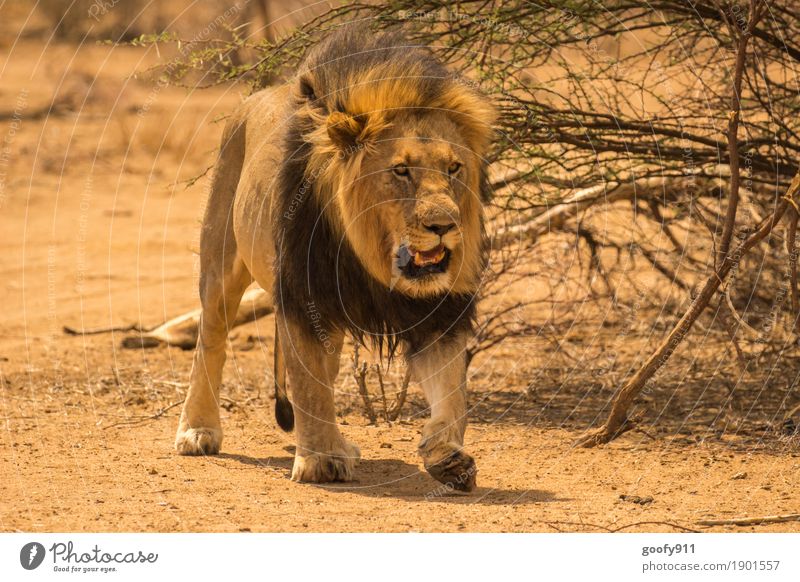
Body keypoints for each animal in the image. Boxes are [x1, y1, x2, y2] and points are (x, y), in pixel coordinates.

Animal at [175, 27, 494, 492]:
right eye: (400, 170)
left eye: (454, 168)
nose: (445, 224)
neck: (373, 255)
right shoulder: (301, 297)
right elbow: (308, 385)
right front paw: (320, 461)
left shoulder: (439, 309)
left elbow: (452, 390)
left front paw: (447, 456)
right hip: (221, 261)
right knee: (210, 340)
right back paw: (197, 430)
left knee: (326, 369)